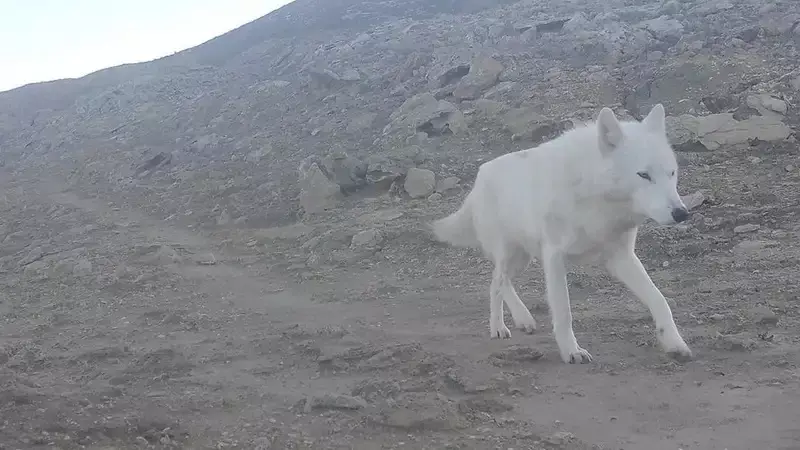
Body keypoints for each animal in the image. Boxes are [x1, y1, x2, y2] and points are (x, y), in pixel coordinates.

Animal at [432, 103, 692, 364]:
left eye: (671, 173)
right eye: (643, 175)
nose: (681, 213)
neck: (594, 195)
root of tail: (480, 175)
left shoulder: (621, 258)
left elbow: (660, 300)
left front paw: (674, 343)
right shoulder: (554, 257)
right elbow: (563, 310)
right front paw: (572, 351)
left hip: (522, 259)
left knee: (497, 282)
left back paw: (515, 322)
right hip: (510, 254)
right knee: (498, 281)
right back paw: (505, 325)